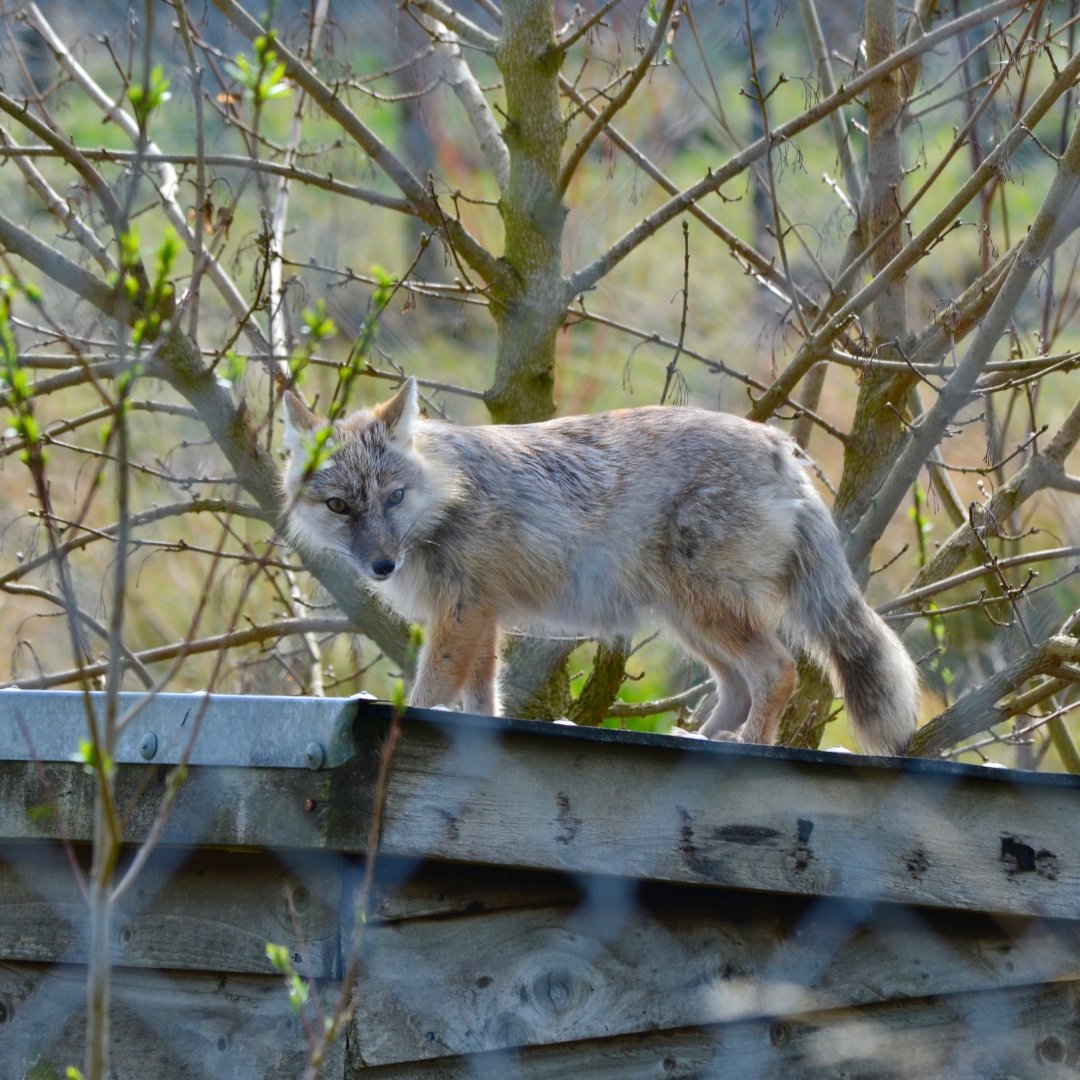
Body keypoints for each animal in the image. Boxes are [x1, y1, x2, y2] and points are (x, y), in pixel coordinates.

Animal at [280, 378, 918, 755]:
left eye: (393, 498)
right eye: (339, 506)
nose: (382, 565)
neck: (446, 495)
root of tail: (777, 444)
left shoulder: (461, 615)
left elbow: (430, 691)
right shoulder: (482, 617)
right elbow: (483, 702)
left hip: (706, 612)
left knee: (777, 670)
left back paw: (750, 745)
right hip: (690, 621)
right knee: (738, 687)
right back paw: (705, 736)